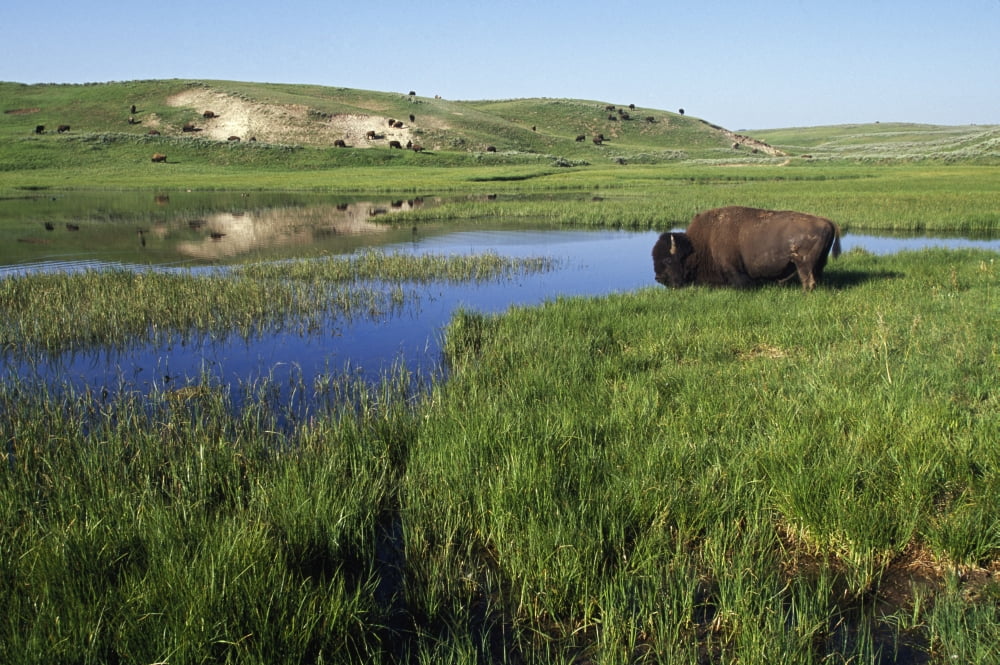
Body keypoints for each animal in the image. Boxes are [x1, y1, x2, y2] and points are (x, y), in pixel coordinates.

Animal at [652, 206, 841, 291]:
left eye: (667, 259)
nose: (658, 278)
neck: (697, 246)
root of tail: (826, 221)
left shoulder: (732, 269)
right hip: (819, 263)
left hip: (804, 265)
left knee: (808, 280)